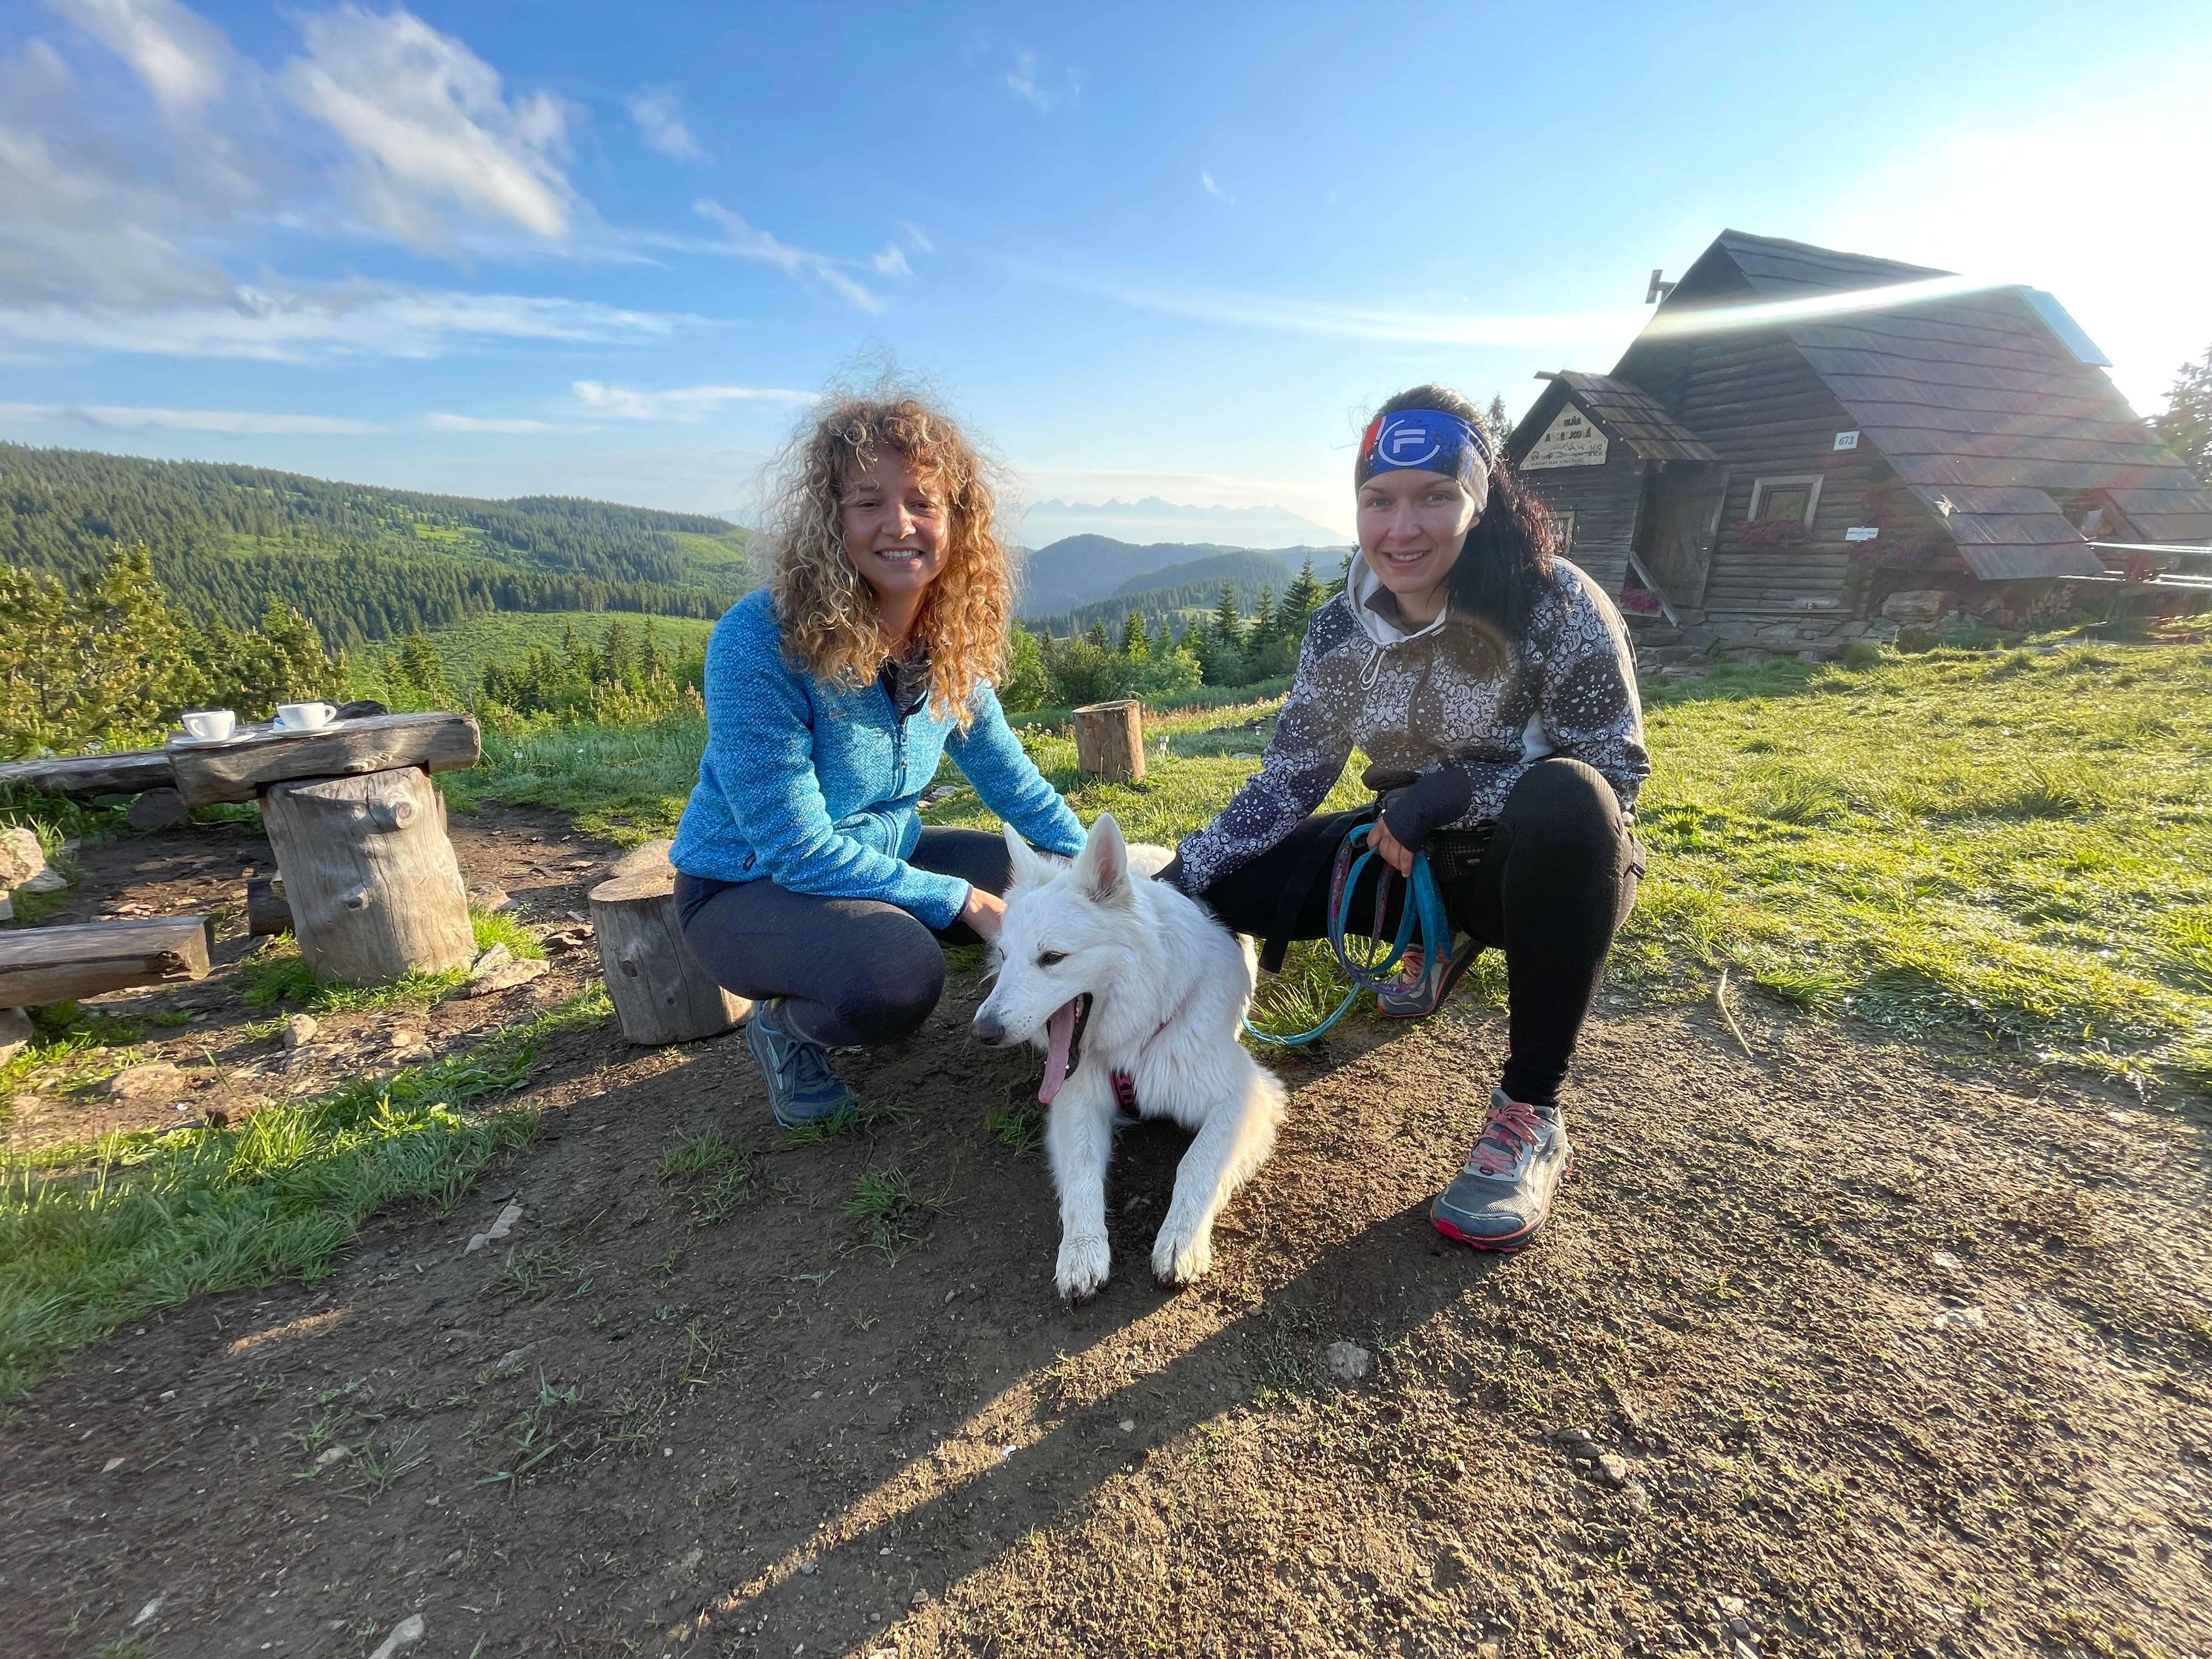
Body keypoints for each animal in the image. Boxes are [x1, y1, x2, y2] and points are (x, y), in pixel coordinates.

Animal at [973, 814, 1291, 1309]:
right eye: (1005, 956)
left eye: (1052, 958)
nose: (983, 1032)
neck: (1139, 1037)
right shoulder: (1077, 1103)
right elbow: (1084, 1172)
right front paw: (1081, 1252)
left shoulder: (1246, 1096)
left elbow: (1196, 1163)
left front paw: (1181, 1241)